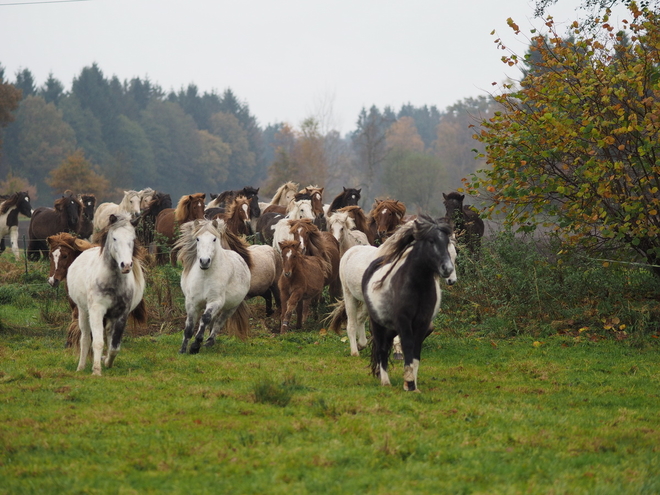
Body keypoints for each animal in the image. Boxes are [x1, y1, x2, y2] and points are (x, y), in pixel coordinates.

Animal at [66, 213, 145, 376]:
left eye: (133, 239)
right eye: (114, 238)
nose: (126, 265)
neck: (113, 282)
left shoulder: (122, 314)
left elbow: (114, 346)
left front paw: (107, 361)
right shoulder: (97, 311)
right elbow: (97, 342)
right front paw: (96, 370)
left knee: (108, 335)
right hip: (83, 311)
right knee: (85, 338)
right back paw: (81, 367)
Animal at [175, 219, 253, 354]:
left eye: (214, 239)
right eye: (197, 239)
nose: (204, 261)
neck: (205, 277)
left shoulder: (215, 301)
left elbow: (205, 318)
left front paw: (195, 346)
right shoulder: (191, 302)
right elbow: (189, 326)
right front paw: (183, 350)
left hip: (231, 307)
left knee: (218, 322)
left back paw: (209, 342)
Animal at [328, 219, 456, 358]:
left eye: (454, 255)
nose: (451, 280)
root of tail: (350, 252)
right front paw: (397, 352)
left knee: (360, 319)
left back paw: (362, 345)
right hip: (349, 295)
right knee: (351, 323)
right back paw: (355, 351)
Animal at [360, 215, 454, 394]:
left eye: (446, 242)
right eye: (431, 241)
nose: (448, 269)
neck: (417, 286)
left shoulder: (422, 322)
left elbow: (416, 351)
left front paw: (412, 385)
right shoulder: (404, 321)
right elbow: (408, 345)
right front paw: (409, 382)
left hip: (390, 327)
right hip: (378, 324)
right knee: (381, 349)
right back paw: (385, 381)